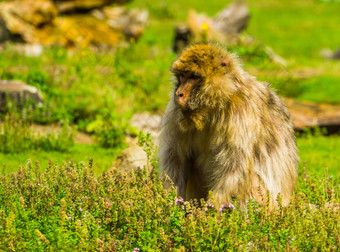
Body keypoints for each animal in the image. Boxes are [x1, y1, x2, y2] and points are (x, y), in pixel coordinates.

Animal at [158, 43, 298, 211]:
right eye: (182, 76)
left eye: (193, 76)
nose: (179, 93)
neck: (213, 108)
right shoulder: (175, 112)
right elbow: (175, 159)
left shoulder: (241, 111)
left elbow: (233, 168)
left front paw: (212, 212)